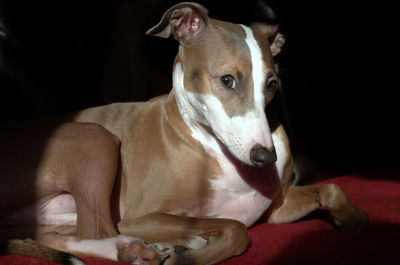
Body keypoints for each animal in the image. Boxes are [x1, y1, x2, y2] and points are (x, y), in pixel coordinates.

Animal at [0, 2, 368, 264]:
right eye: (227, 80)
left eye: (272, 84)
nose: (265, 157)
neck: (214, 149)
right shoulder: (142, 216)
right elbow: (235, 229)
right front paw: (191, 256)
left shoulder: (277, 208)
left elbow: (331, 188)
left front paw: (356, 220)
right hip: (94, 139)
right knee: (98, 229)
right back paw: (142, 247)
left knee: (61, 236)